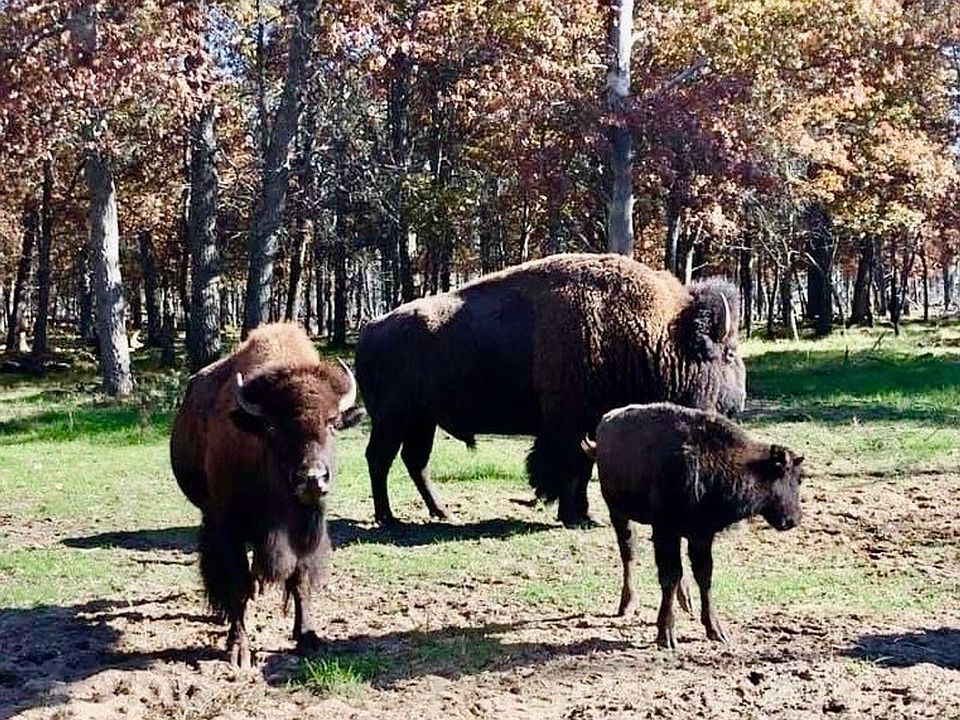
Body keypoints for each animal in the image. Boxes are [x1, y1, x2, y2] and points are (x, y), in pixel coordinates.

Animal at [170, 323, 363, 667]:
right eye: (273, 428)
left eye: (331, 423)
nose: (312, 478)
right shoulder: (229, 525)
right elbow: (238, 583)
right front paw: (239, 649)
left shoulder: (306, 532)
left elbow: (300, 580)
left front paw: (308, 637)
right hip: (210, 514)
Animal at [356, 253, 746, 527]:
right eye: (728, 353)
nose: (738, 402)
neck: (658, 334)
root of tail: (371, 328)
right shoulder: (567, 425)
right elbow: (570, 468)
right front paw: (572, 515)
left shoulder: (588, 427)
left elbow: (584, 468)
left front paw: (584, 515)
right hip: (392, 421)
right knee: (379, 459)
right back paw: (388, 518)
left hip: (422, 422)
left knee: (415, 462)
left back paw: (441, 512)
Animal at [582, 402, 803, 648]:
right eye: (790, 477)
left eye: (799, 478)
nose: (793, 519)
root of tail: (607, 421)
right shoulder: (666, 531)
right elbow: (669, 575)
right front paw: (666, 634)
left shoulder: (701, 535)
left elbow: (704, 575)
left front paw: (716, 630)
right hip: (619, 513)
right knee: (629, 552)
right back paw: (627, 604)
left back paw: (685, 601)